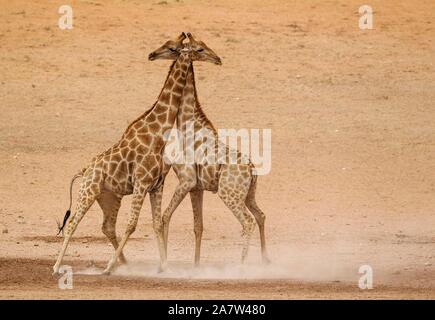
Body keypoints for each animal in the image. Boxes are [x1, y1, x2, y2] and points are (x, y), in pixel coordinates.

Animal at [52, 34, 192, 276]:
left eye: (171, 46)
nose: (151, 54)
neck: (158, 133)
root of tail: (84, 170)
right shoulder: (141, 183)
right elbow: (133, 224)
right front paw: (108, 267)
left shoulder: (156, 185)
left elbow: (156, 223)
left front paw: (164, 267)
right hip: (88, 191)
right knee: (73, 224)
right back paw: (57, 266)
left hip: (109, 197)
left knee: (108, 226)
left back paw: (123, 263)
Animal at [152, 33, 270, 268]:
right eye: (201, 47)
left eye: (171, 47)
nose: (218, 59)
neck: (187, 123)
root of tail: (252, 170)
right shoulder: (197, 188)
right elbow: (198, 226)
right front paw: (196, 265)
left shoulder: (186, 181)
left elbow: (166, 216)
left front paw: (164, 263)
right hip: (248, 194)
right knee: (260, 216)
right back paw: (265, 259)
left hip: (229, 194)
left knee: (248, 222)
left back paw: (242, 266)